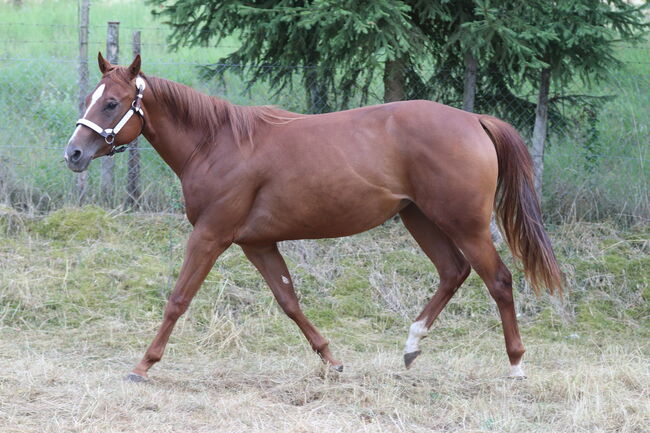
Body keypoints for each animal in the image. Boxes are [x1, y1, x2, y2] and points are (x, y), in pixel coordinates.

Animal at [66, 54, 560, 382]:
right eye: (93, 97)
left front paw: (143, 365)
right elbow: (289, 301)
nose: (73, 154)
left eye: (112, 103)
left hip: (464, 224)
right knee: (453, 271)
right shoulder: (257, 243)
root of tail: (474, 120)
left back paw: (516, 365)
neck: (218, 143)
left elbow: (178, 299)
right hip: (420, 219)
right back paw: (411, 346)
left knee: (498, 280)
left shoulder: (210, 235)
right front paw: (332, 359)